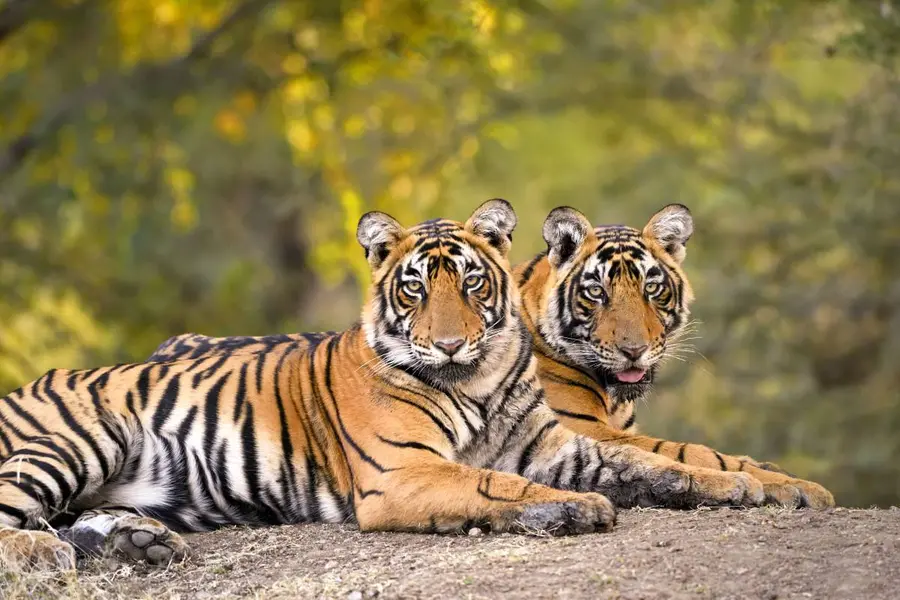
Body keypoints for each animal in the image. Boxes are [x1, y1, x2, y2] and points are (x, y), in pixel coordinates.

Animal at [514, 204, 835, 508]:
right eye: (596, 291)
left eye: (652, 288)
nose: (634, 350)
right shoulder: (578, 426)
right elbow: (691, 452)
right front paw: (794, 486)